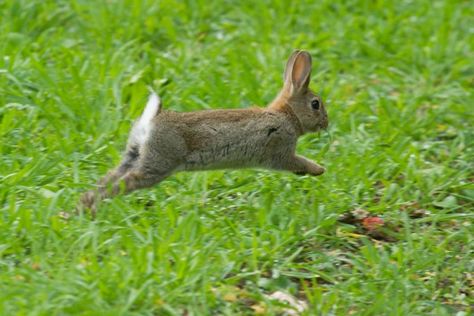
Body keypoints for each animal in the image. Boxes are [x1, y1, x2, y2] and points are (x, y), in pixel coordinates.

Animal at [79, 50, 328, 215]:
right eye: (315, 104)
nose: (326, 123)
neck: (287, 115)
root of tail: (150, 121)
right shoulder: (281, 151)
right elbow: (297, 161)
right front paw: (318, 169)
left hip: (134, 155)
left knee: (106, 181)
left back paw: (83, 207)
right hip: (159, 162)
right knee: (127, 182)